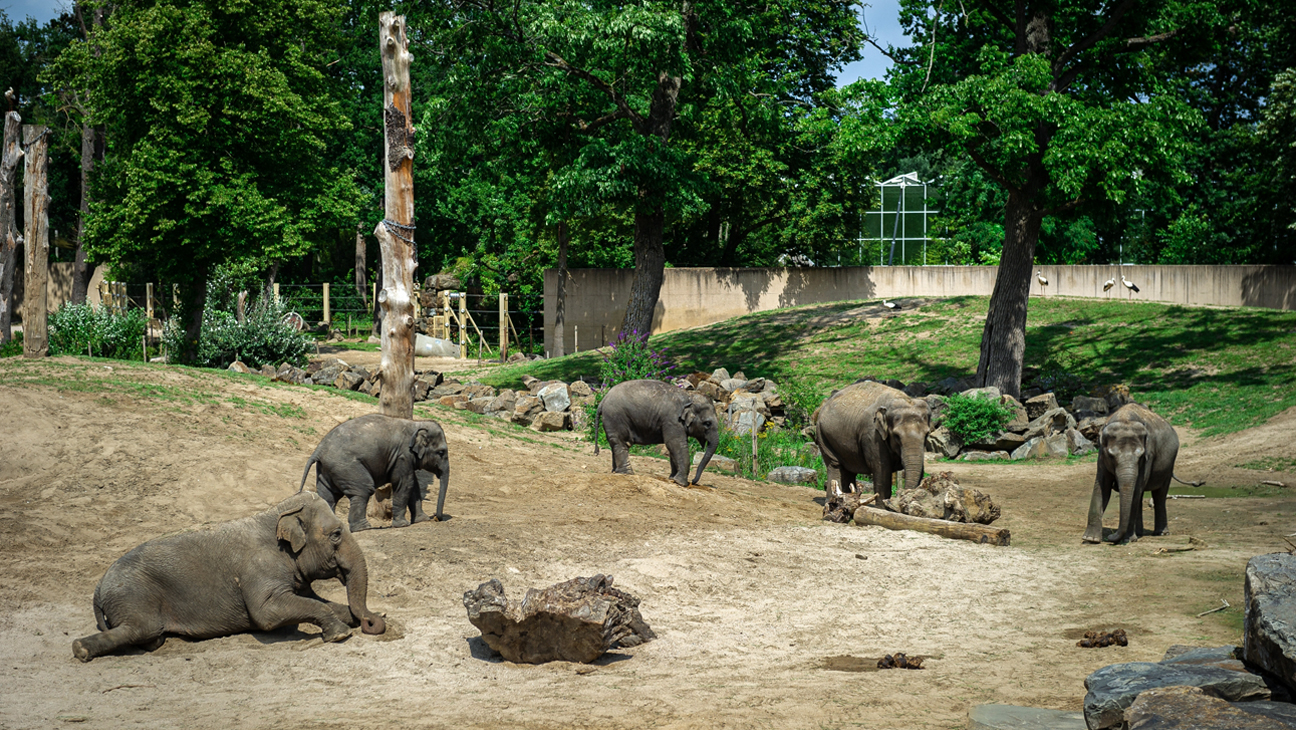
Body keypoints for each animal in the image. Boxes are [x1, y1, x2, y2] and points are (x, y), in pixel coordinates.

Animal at [71, 490, 383, 663]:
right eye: (336, 534)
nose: (374, 621)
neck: (275, 512)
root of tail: (98, 586)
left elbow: (313, 599)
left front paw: (352, 617)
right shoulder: (258, 568)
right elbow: (267, 614)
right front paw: (341, 634)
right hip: (133, 595)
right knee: (142, 629)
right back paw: (81, 649)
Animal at [299, 414, 451, 529]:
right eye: (441, 452)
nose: (436, 517)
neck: (415, 423)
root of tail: (319, 449)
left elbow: (414, 486)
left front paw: (422, 520)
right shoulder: (402, 456)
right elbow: (405, 484)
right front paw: (403, 525)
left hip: (326, 470)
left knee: (328, 496)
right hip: (346, 467)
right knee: (363, 490)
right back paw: (364, 528)